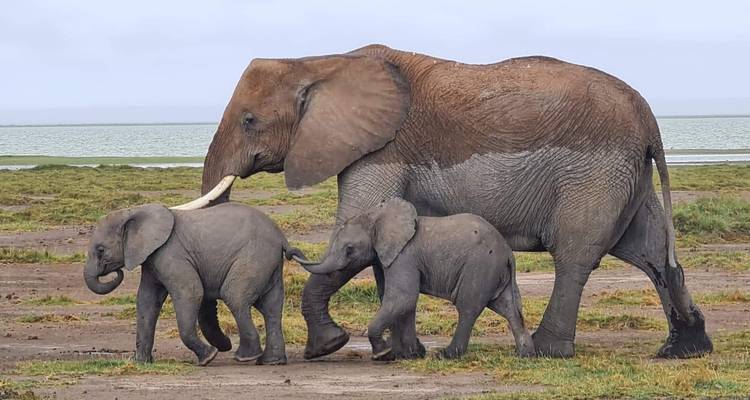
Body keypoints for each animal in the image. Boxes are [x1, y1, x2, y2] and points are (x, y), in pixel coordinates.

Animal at [84, 203, 302, 365]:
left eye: (100, 250)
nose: (117, 272)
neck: (134, 212)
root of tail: (280, 236)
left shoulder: (171, 253)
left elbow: (190, 292)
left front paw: (208, 358)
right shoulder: (152, 259)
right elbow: (147, 301)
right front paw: (141, 362)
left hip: (254, 257)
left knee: (235, 296)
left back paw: (245, 357)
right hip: (268, 263)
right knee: (271, 307)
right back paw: (270, 361)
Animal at [295, 198, 535, 360]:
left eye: (349, 250)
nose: (292, 251)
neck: (377, 216)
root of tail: (508, 253)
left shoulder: (404, 256)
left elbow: (403, 298)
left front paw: (383, 353)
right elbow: (404, 303)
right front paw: (412, 354)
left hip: (480, 267)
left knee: (467, 308)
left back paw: (446, 355)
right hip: (495, 272)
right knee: (509, 309)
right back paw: (525, 354)